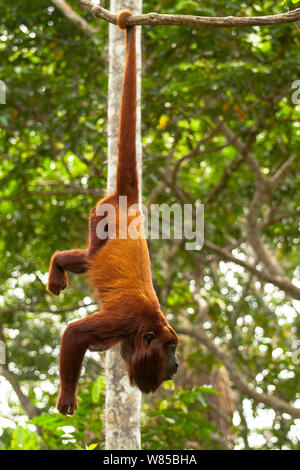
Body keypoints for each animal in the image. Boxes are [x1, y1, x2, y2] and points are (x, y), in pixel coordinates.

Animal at [46, 10, 178, 414]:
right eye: (170, 350)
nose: (178, 364)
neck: (148, 327)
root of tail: (127, 201)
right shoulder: (125, 321)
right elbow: (75, 333)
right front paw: (67, 396)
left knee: (88, 258)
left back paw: (60, 264)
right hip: (100, 216)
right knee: (89, 255)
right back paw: (58, 265)